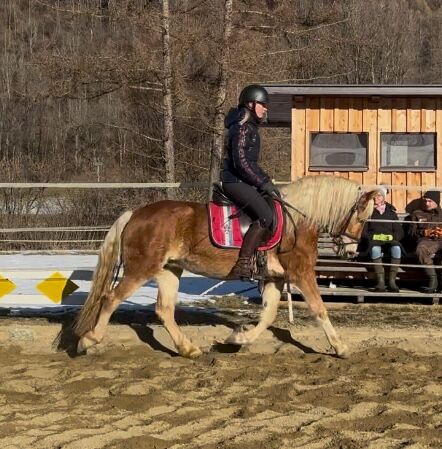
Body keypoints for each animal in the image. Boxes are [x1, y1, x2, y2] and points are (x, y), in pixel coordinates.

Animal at [73, 175, 376, 356]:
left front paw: (238, 339)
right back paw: (88, 340)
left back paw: (188, 349)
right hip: (141, 269)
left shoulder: (275, 278)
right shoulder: (300, 274)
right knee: (110, 298)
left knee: (164, 310)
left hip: (169, 270)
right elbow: (319, 309)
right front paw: (340, 346)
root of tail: (135, 213)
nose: (350, 251)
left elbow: (268, 315)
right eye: (362, 217)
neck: (297, 220)